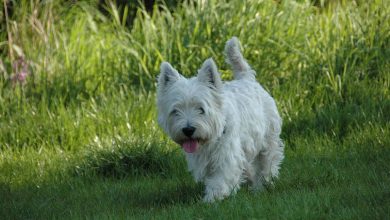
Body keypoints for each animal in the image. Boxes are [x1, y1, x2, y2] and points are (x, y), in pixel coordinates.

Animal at [157, 37, 284, 202]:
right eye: (175, 111)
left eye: (201, 109)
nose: (188, 130)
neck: (208, 141)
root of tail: (247, 78)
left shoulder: (227, 154)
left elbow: (221, 179)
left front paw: (211, 199)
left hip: (269, 138)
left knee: (267, 161)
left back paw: (262, 185)